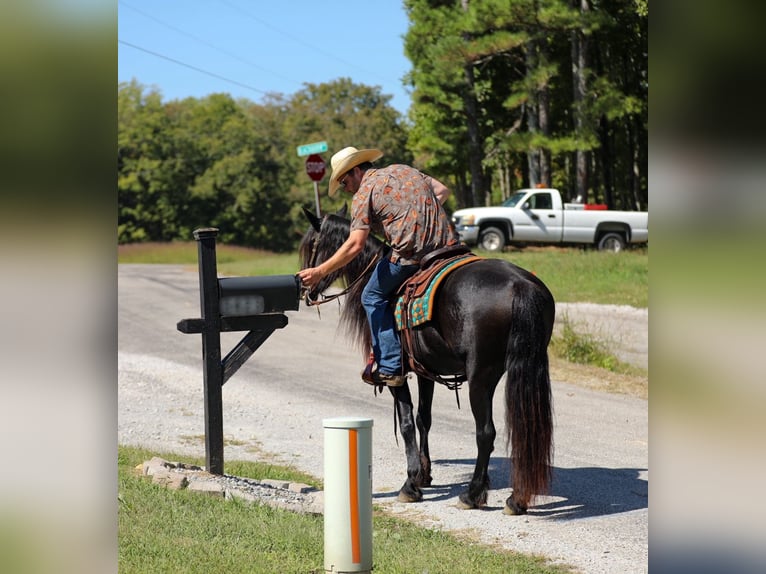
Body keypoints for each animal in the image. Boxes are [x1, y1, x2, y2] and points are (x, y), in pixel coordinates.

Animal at [299, 208, 556, 515]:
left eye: (311, 246)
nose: (305, 287)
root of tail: (520, 285)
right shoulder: (425, 370)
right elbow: (424, 419)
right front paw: (424, 473)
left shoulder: (395, 373)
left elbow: (407, 421)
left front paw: (411, 483)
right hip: (519, 368)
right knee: (525, 429)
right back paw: (516, 498)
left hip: (481, 376)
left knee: (486, 433)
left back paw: (473, 494)